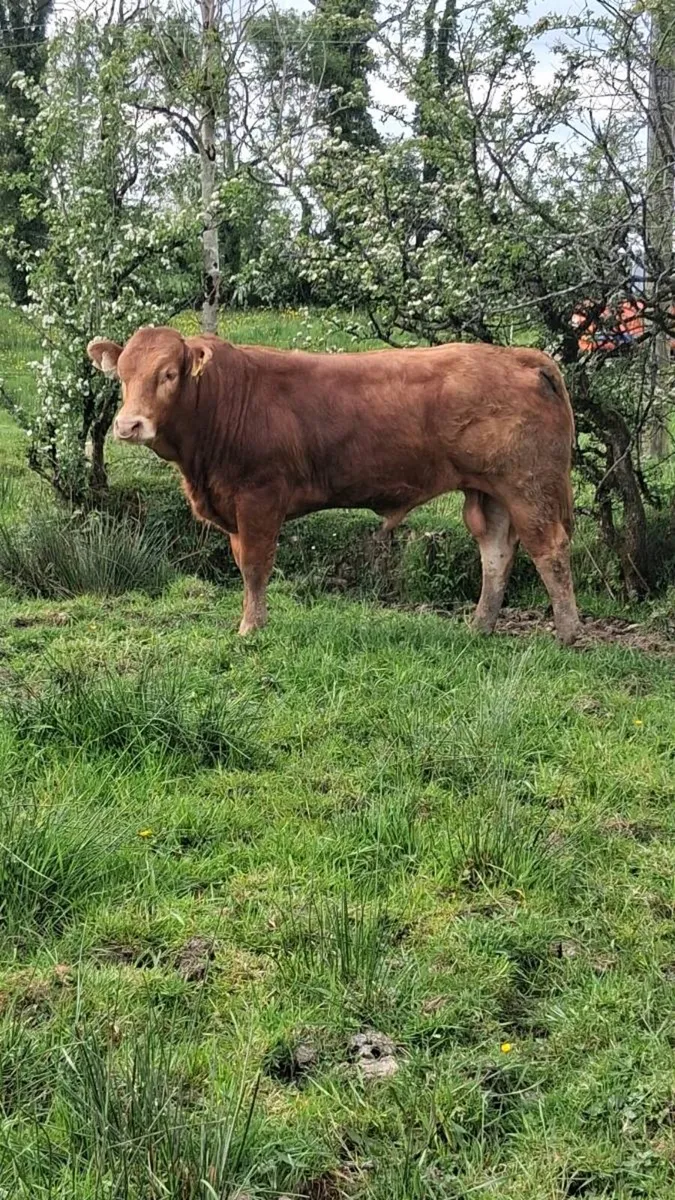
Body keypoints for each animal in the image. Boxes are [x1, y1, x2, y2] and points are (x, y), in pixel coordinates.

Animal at [87, 326, 581, 644]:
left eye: (169, 374)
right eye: (122, 376)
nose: (128, 425)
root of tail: (519, 355)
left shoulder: (259, 499)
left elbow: (256, 567)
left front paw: (251, 629)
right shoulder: (233, 507)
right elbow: (244, 565)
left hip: (527, 487)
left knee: (549, 550)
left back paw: (568, 634)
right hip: (488, 492)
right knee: (495, 553)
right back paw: (480, 627)